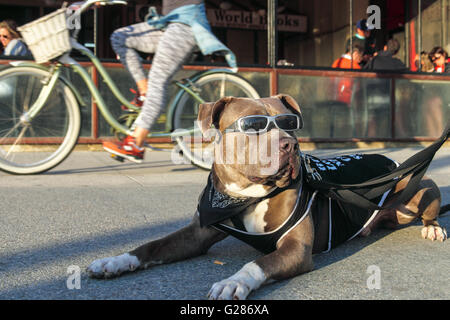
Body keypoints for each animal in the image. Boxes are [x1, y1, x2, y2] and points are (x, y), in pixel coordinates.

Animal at [87, 94, 446, 298]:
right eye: (254, 126)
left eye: (290, 123)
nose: (291, 144)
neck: (246, 193)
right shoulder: (197, 233)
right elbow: (152, 246)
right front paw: (115, 261)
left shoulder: (296, 249)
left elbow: (258, 263)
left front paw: (234, 282)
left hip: (421, 187)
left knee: (431, 210)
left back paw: (433, 228)